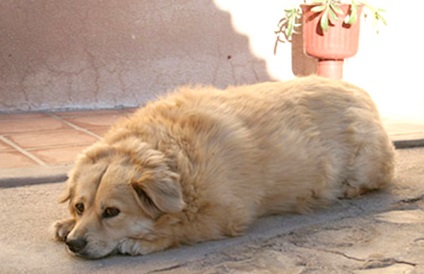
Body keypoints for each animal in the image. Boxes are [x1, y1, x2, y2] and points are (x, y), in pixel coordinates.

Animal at [51, 75, 396, 260]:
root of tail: (359, 90)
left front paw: (144, 240)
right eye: (80, 206)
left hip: (365, 165)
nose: (74, 244)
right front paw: (65, 224)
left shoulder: (225, 215)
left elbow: (182, 228)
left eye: (112, 212)